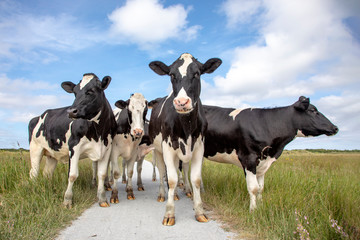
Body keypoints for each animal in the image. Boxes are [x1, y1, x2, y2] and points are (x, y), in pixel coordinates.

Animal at [29, 73, 116, 208]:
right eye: (75, 92)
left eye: (90, 91)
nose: (71, 111)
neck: (98, 131)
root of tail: (38, 116)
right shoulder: (74, 146)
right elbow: (72, 175)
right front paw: (67, 200)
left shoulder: (106, 148)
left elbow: (101, 174)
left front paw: (102, 199)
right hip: (35, 148)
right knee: (34, 172)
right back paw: (34, 190)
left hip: (51, 155)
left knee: (47, 173)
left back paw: (47, 188)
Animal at [147, 52, 221, 225]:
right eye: (172, 75)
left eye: (197, 74)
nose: (181, 102)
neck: (186, 125)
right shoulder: (167, 147)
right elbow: (171, 179)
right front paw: (169, 213)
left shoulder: (199, 147)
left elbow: (195, 179)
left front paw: (199, 210)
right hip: (158, 150)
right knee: (163, 171)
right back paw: (163, 194)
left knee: (181, 169)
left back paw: (180, 192)